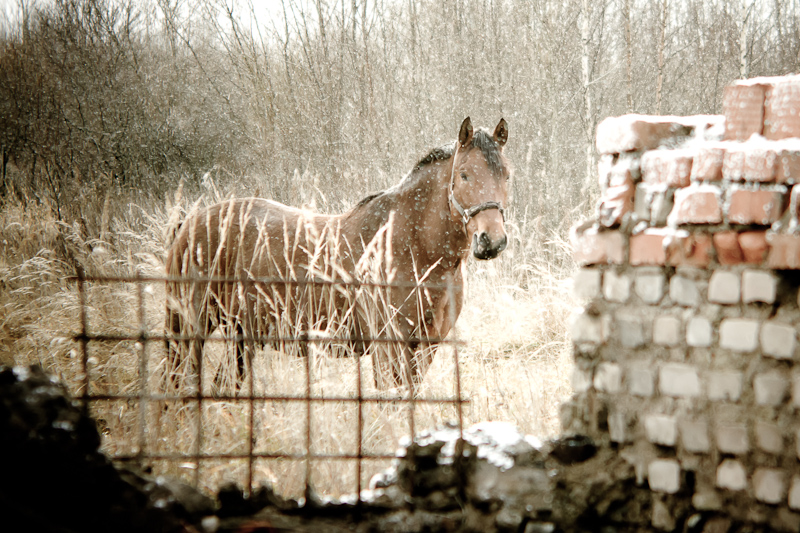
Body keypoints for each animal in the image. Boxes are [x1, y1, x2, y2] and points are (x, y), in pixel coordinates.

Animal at [165, 118, 510, 392]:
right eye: (463, 175)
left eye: (506, 175)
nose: (491, 241)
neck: (414, 250)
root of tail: (189, 222)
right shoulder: (389, 348)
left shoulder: (427, 347)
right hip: (186, 330)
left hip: (240, 336)